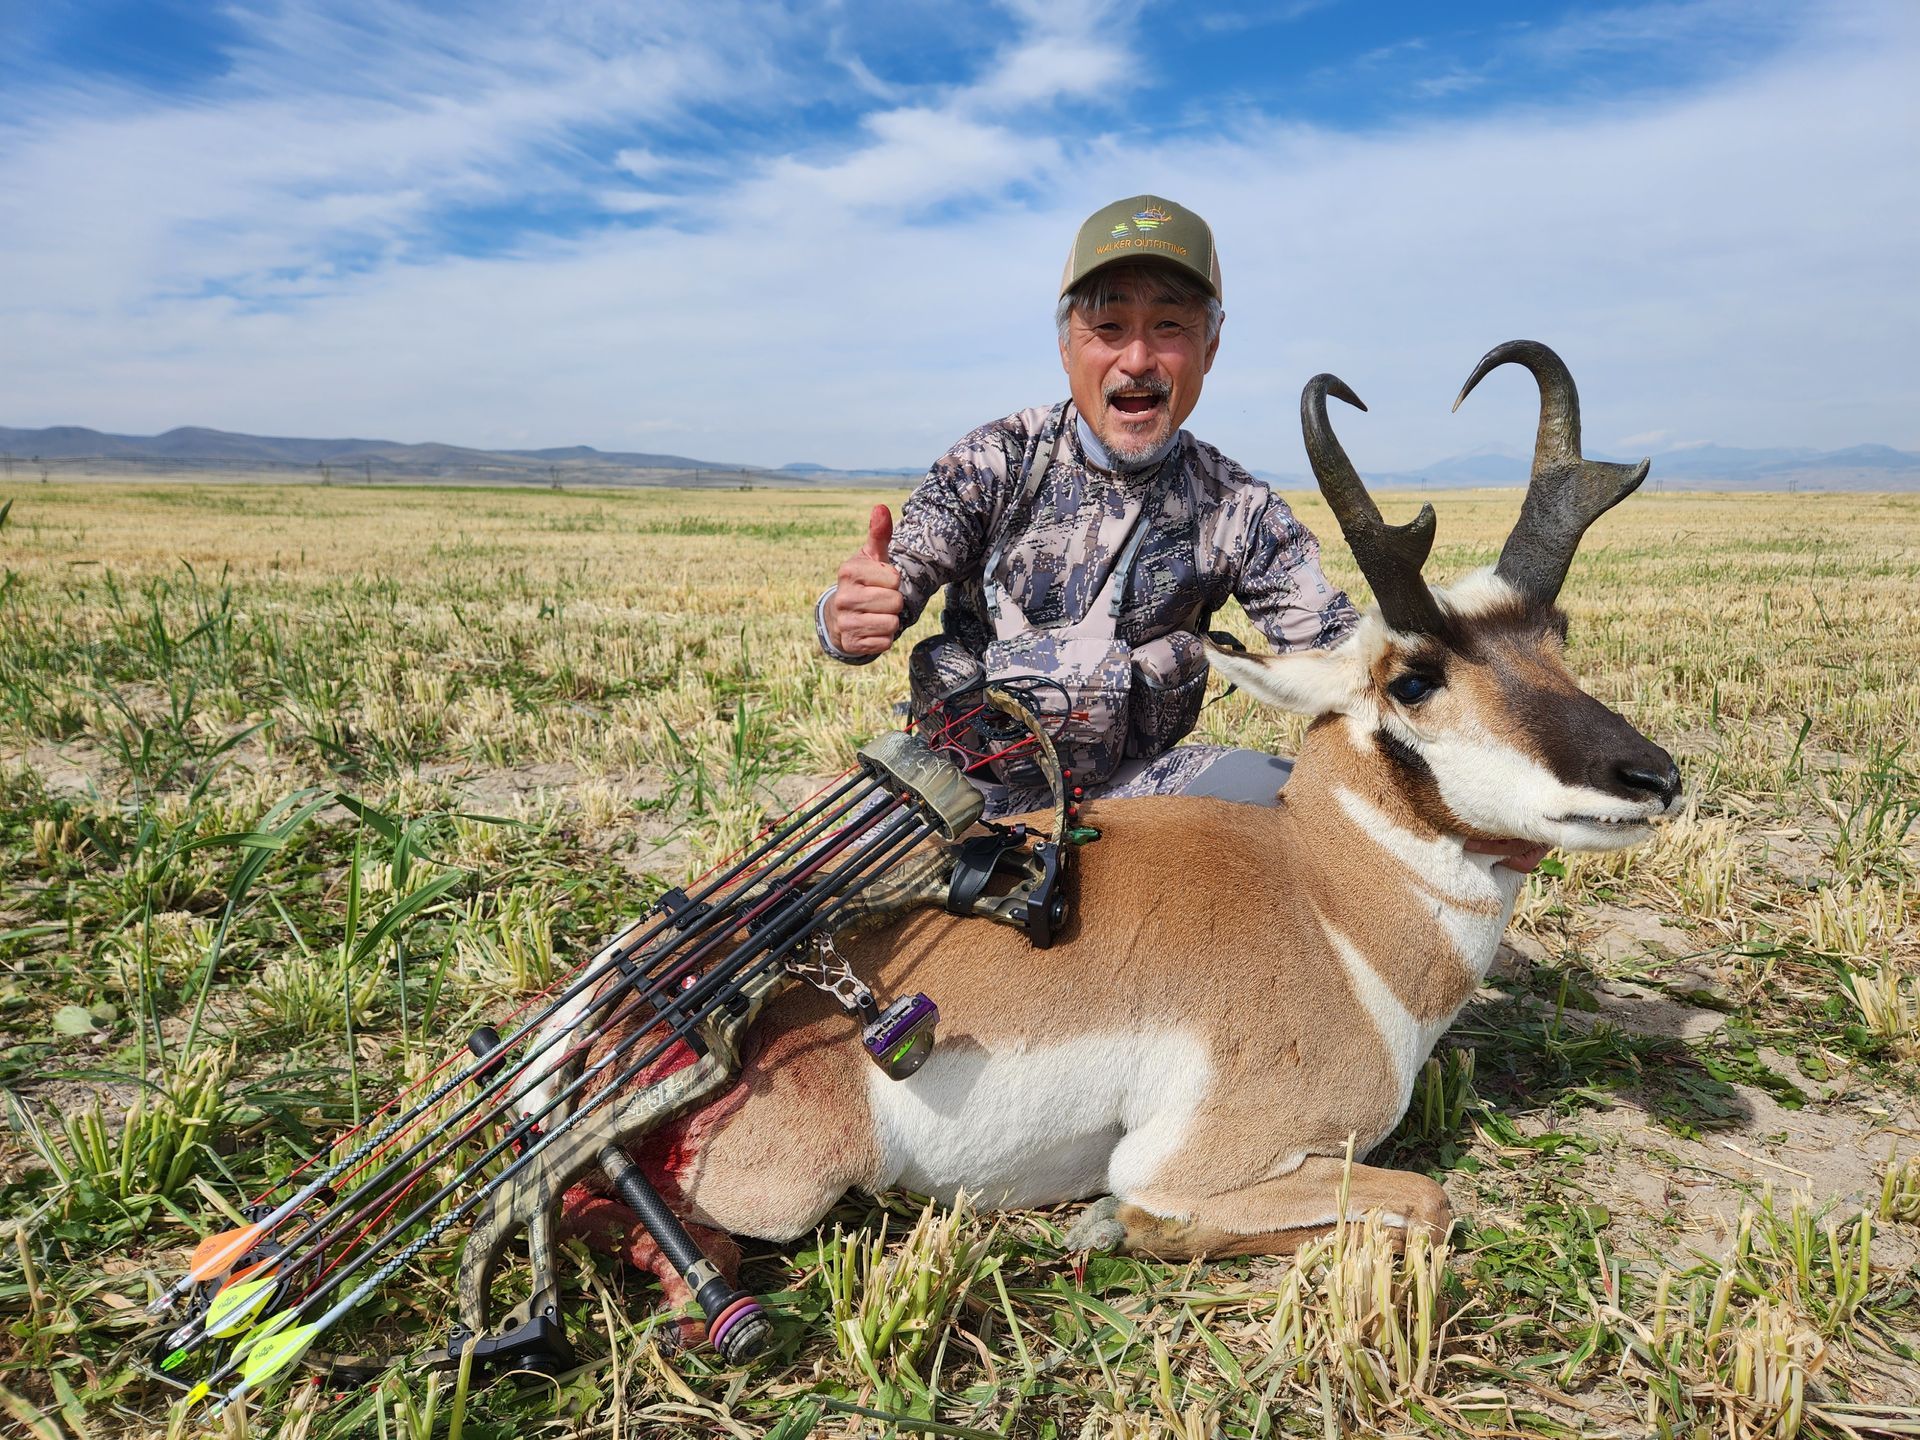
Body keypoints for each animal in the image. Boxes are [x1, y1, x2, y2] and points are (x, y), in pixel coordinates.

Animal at [561, 340, 1682, 1298]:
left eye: (1558, 633)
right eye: (1413, 678)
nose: (1655, 777)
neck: (1327, 901)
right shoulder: (1200, 1159)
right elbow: (1427, 1201)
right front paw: (1109, 1224)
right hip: (784, 1192)